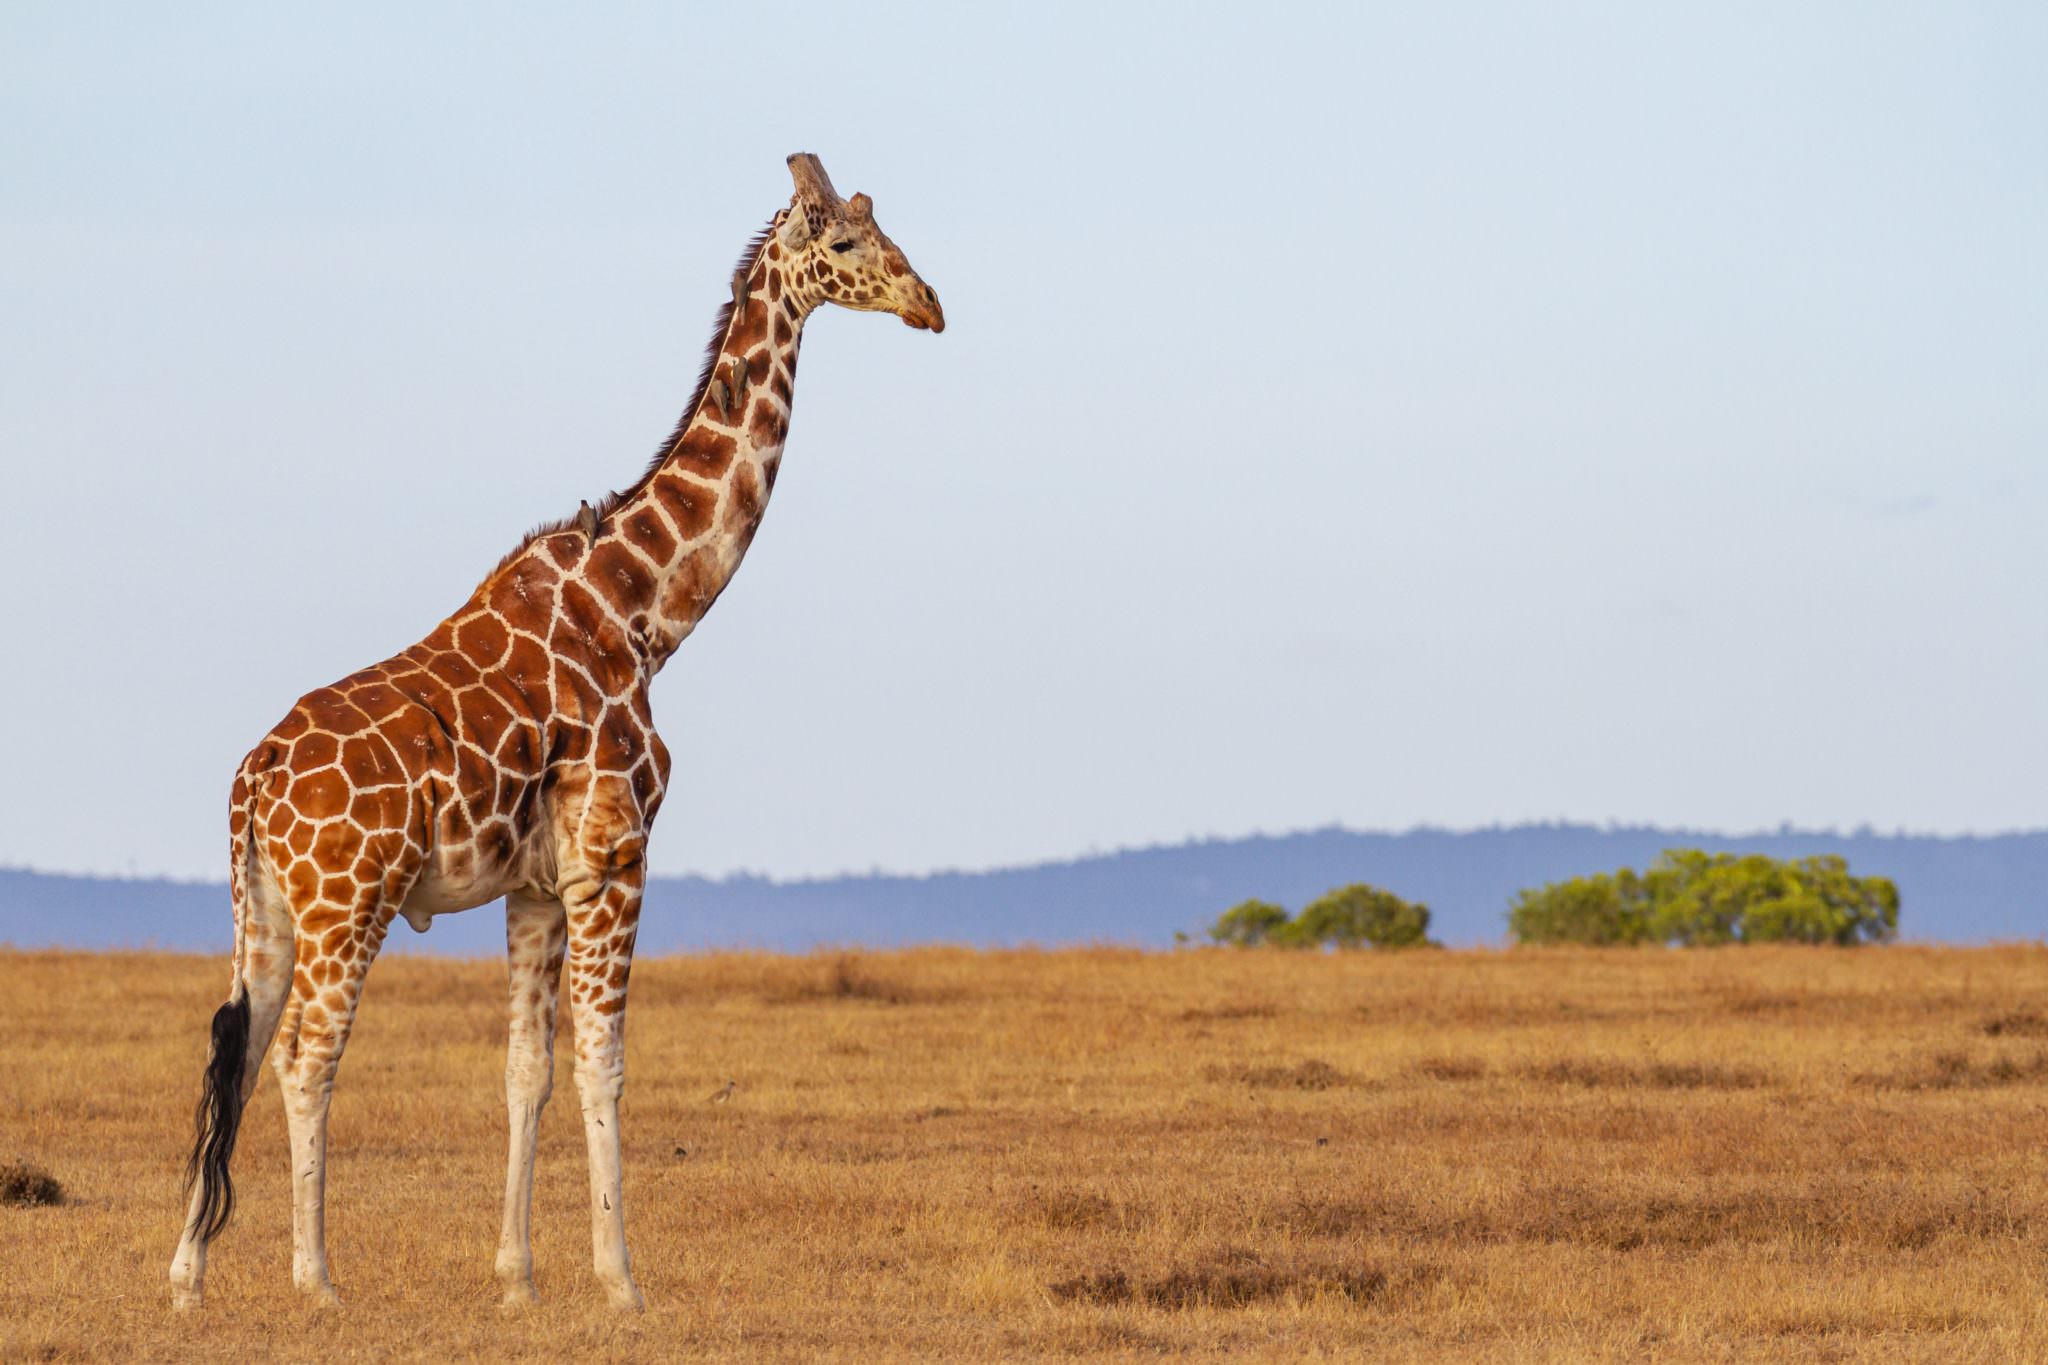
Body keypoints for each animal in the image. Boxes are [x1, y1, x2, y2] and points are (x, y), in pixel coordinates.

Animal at [167, 153, 944, 1311]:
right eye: (846, 243)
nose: (929, 302)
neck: (647, 607)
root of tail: (253, 778)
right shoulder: (614, 857)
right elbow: (602, 1063)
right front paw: (621, 1280)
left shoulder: (534, 883)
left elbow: (525, 1071)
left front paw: (517, 1278)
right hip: (347, 901)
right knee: (307, 1054)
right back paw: (317, 1278)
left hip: (262, 904)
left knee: (241, 1044)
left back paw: (186, 1277)